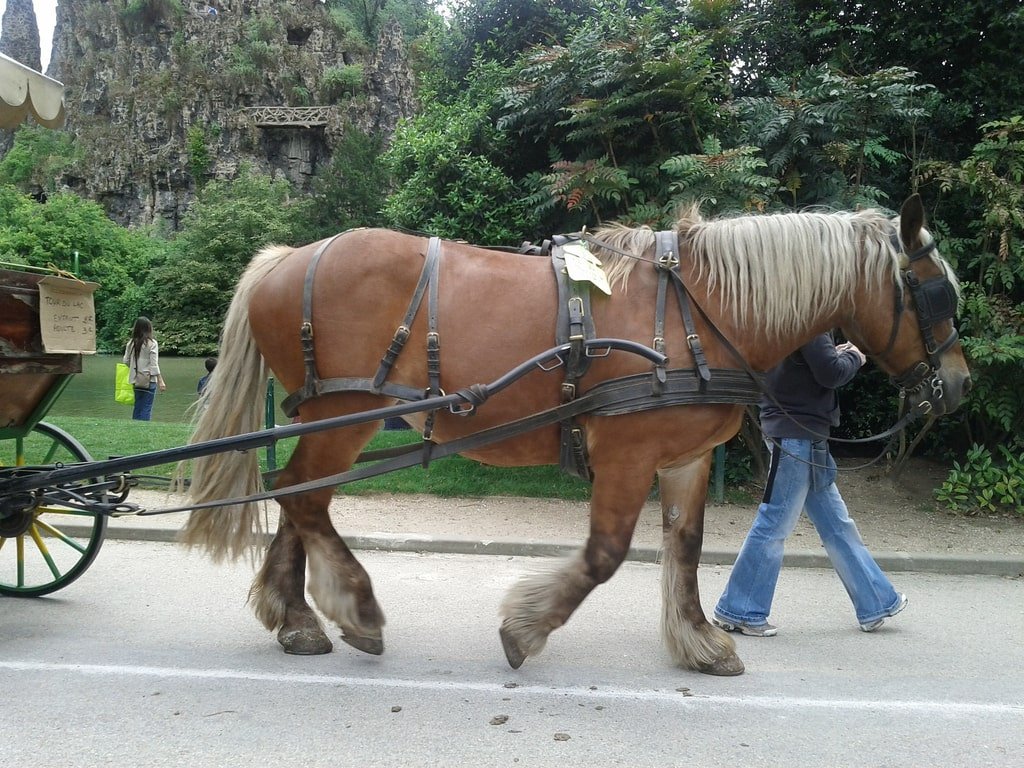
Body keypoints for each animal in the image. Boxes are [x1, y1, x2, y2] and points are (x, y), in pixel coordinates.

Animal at [180, 195, 970, 675]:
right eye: (934, 294)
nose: (959, 386)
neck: (699, 307)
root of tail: (285, 258)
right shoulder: (625, 451)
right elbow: (605, 554)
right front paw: (526, 627)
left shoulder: (684, 457)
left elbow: (684, 550)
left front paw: (699, 640)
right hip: (349, 411)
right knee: (302, 496)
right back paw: (354, 606)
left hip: (329, 419)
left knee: (299, 497)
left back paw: (296, 617)